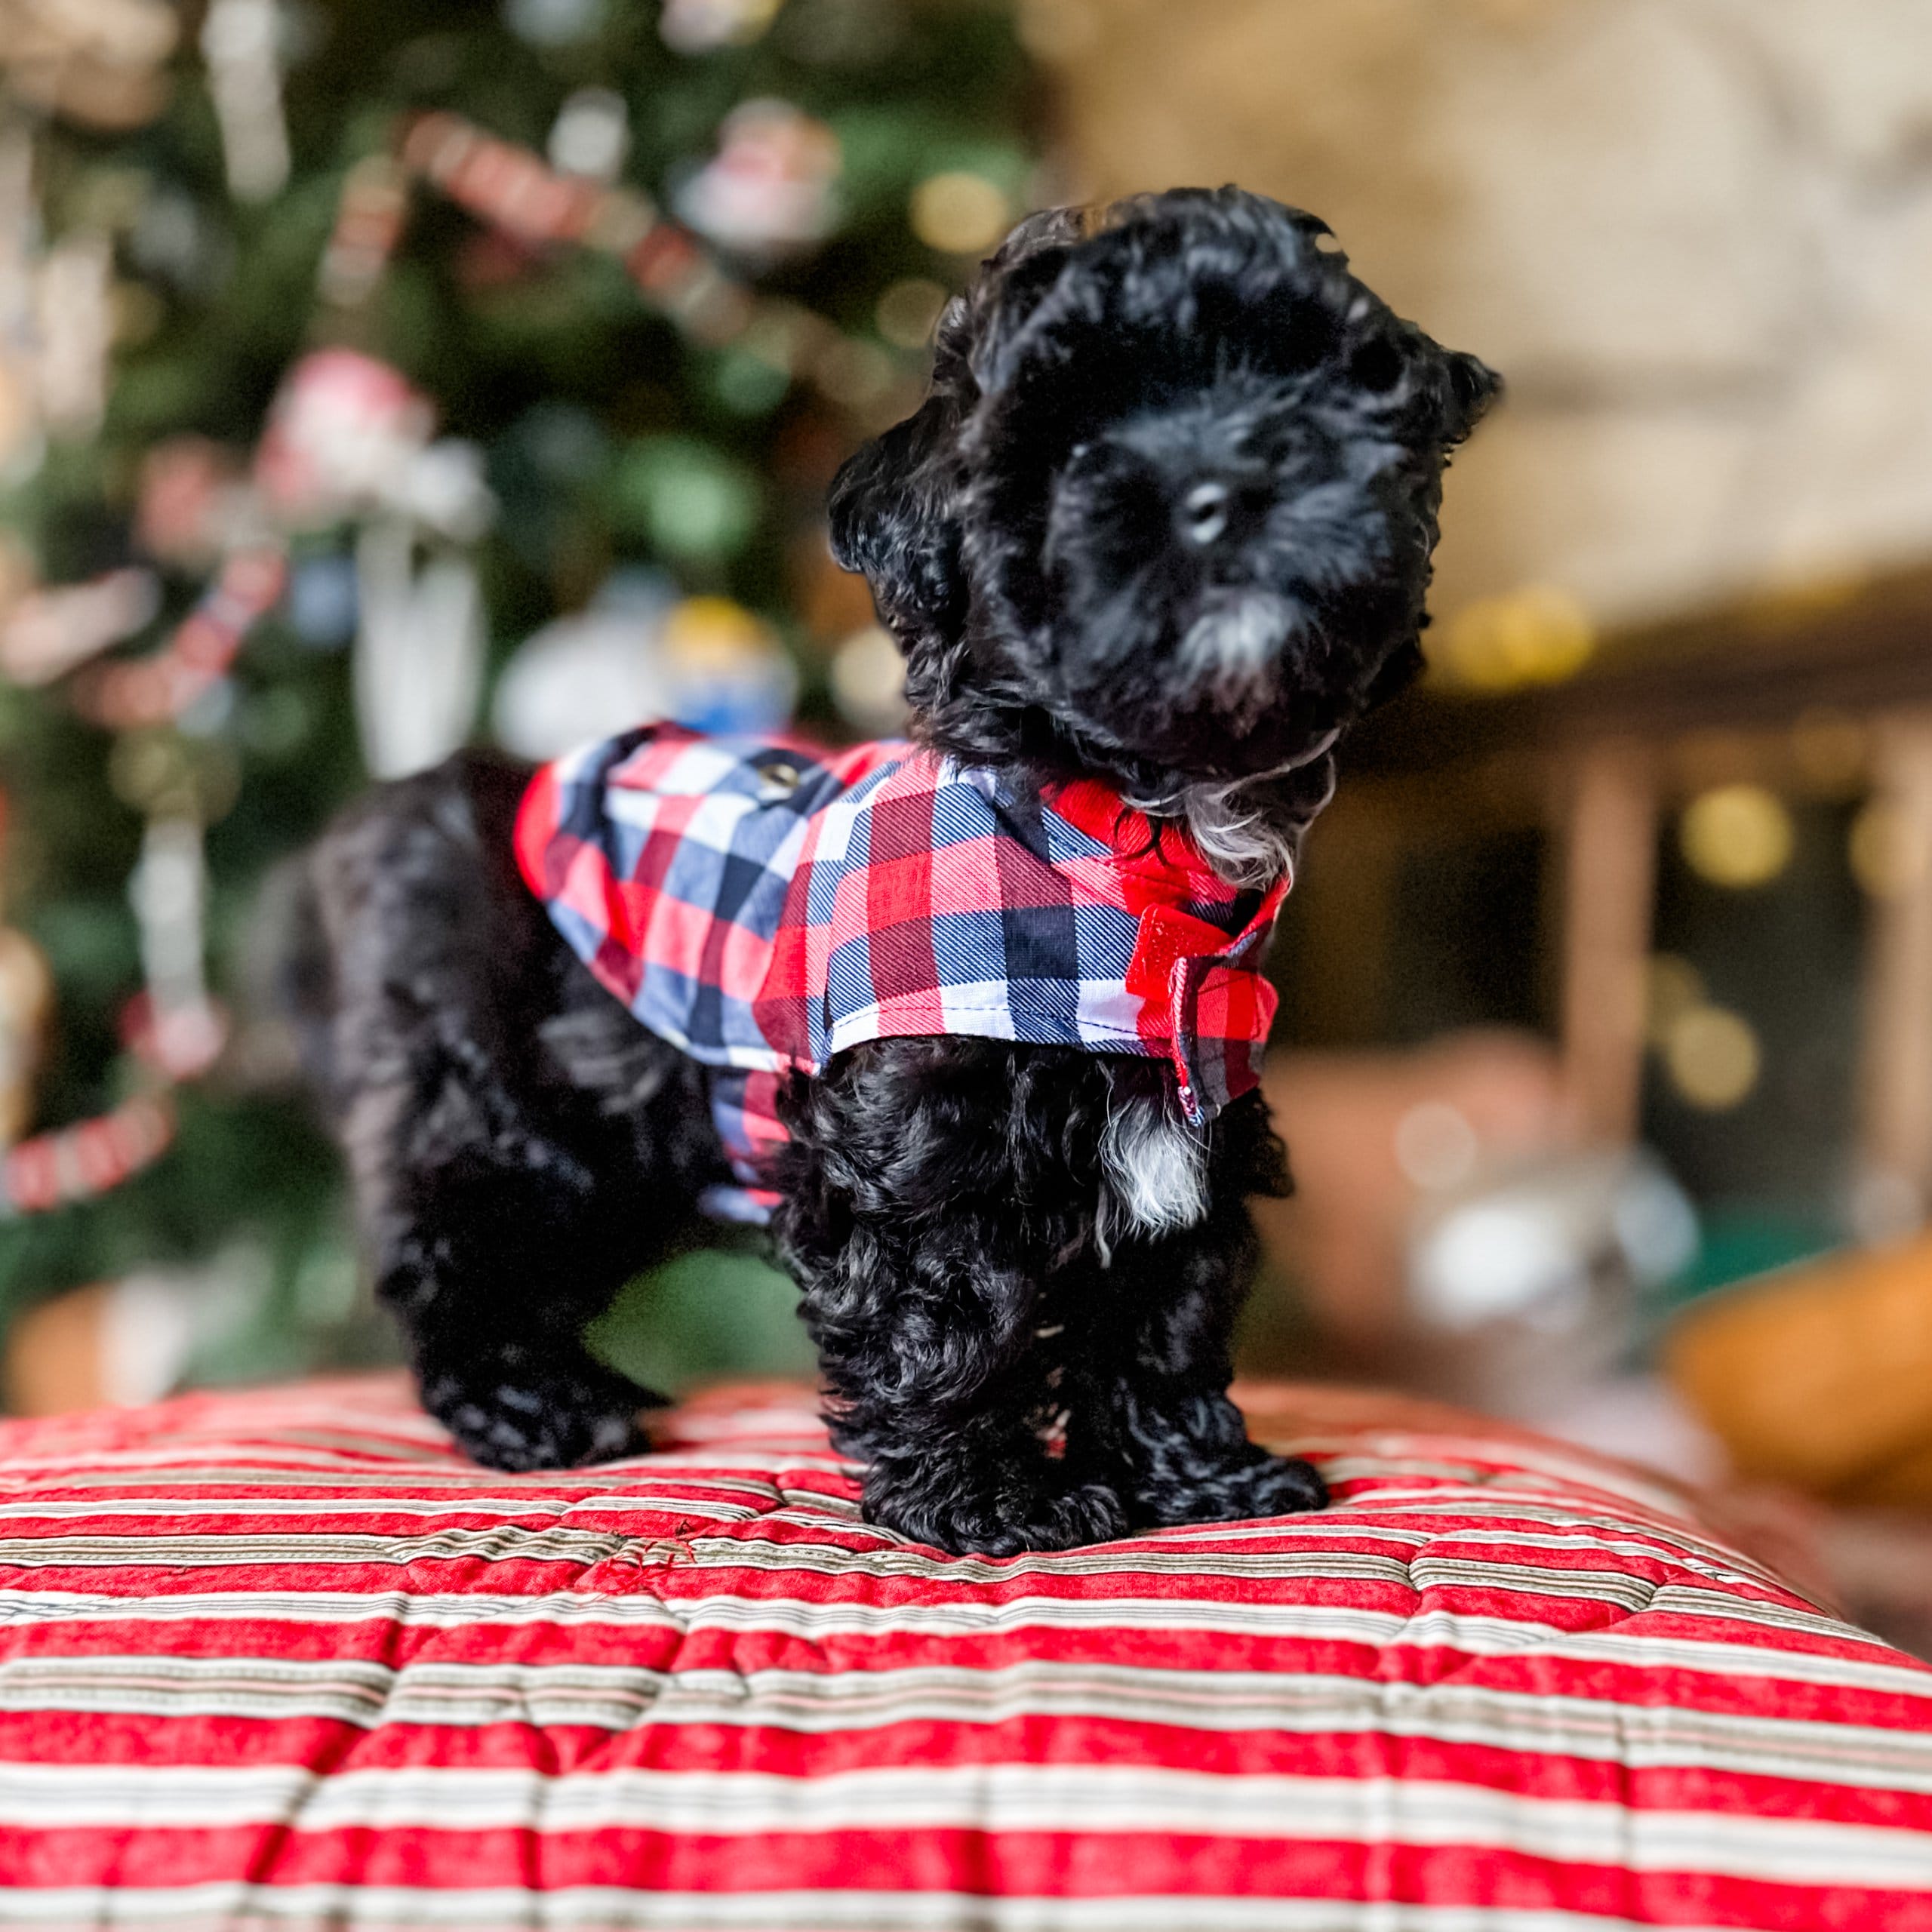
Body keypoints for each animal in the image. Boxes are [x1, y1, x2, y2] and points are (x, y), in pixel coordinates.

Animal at [290, 192, 1491, 1553]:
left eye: (1297, 380)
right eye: (1067, 444)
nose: (1224, 485)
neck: (1108, 834)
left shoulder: (1191, 1126)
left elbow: (1165, 1313)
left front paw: (1197, 1477)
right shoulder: (919, 1142)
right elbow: (948, 1314)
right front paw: (992, 1499)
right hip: (505, 1119)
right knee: (460, 1266)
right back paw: (534, 1409)